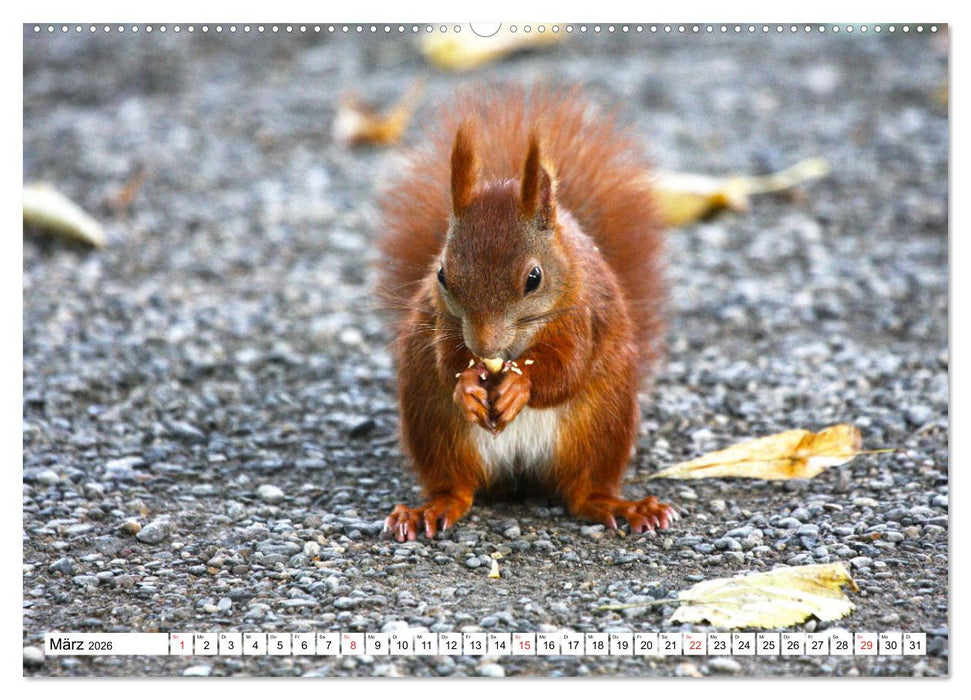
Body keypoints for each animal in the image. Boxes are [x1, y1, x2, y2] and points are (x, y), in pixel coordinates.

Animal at [376, 87, 675, 542]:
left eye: (534, 278)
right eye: (442, 274)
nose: (484, 346)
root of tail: (519, 473)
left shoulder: (582, 317)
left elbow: (567, 368)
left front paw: (520, 384)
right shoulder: (442, 321)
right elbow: (446, 364)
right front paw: (467, 382)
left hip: (602, 425)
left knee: (584, 492)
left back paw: (622, 506)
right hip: (434, 424)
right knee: (456, 487)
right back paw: (429, 509)